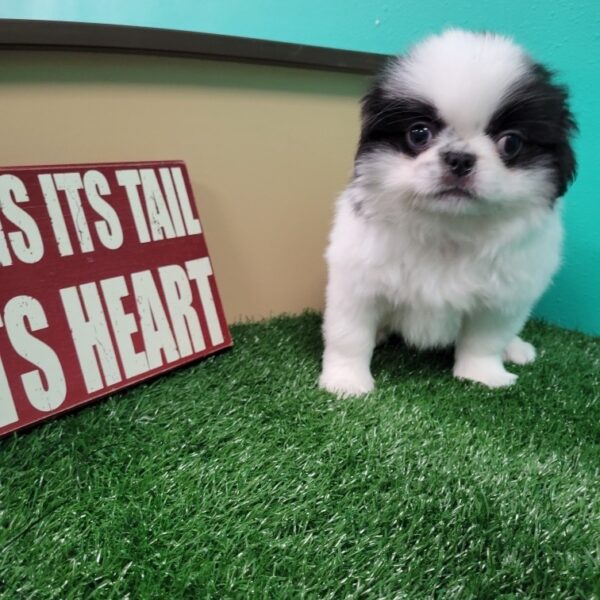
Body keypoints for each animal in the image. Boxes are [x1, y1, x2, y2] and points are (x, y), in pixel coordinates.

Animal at [318, 28, 576, 396]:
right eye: (419, 133)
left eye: (511, 143)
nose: (459, 158)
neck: (448, 230)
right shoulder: (357, 284)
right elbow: (349, 337)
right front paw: (346, 383)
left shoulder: (502, 300)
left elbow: (484, 342)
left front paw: (482, 376)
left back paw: (515, 349)